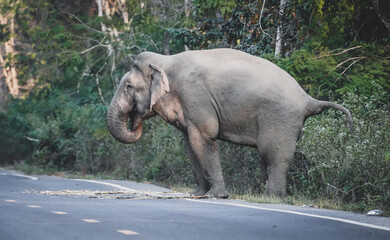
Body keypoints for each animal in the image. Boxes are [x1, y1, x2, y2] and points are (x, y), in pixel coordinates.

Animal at [106, 47, 354, 198]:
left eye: (128, 87)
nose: (135, 120)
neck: (165, 62)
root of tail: (307, 98)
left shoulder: (195, 95)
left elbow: (204, 137)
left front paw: (216, 196)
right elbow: (190, 145)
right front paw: (197, 195)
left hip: (281, 118)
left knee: (274, 154)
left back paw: (271, 196)